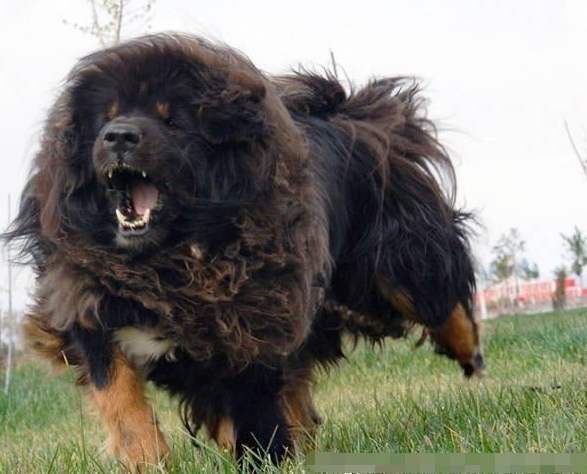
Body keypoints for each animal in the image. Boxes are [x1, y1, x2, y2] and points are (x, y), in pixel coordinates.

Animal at [6, 34, 484, 470]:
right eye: (105, 119)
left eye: (173, 122)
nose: (117, 136)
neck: (170, 258)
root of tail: (347, 111)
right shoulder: (87, 300)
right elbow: (118, 393)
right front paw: (145, 458)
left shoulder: (254, 323)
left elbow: (254, 411)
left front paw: (265, 459)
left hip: (393, 260)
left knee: (436, 294)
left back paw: (471, 356)